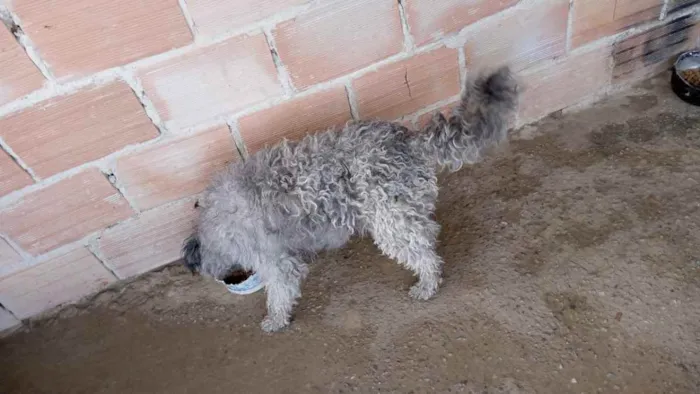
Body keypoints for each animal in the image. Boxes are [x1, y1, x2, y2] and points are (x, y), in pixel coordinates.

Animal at [183, 66, 516, 330]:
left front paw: (275, 321)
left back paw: (427, 284)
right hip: (403, 213)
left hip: (391, 223)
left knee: (425, 254)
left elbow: (280, 292)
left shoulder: (275, 262)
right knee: (427, 235)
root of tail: (406, 140)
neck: (216, 225)